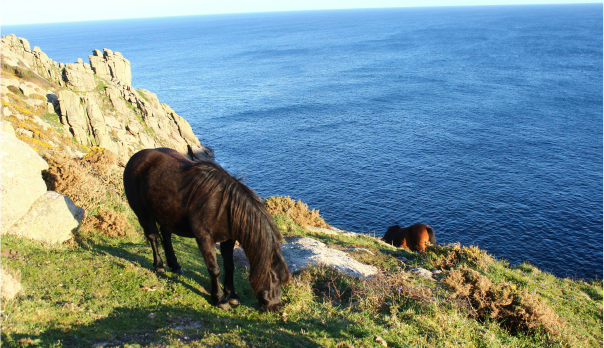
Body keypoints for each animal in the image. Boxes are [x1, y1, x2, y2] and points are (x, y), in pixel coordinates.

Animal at [123, 148, 290, 312]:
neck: (225, 207)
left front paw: (232, 295)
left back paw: (175, 266)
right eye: (274, 278)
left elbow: (229, 266)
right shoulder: (204, 238)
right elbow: (214, 269)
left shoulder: (228, 239)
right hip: (143, 213)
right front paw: (220, 299)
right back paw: (159, 266)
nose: (275, 307)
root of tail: (136, 157)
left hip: (165, 213)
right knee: (152, 237)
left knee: (166, 235)